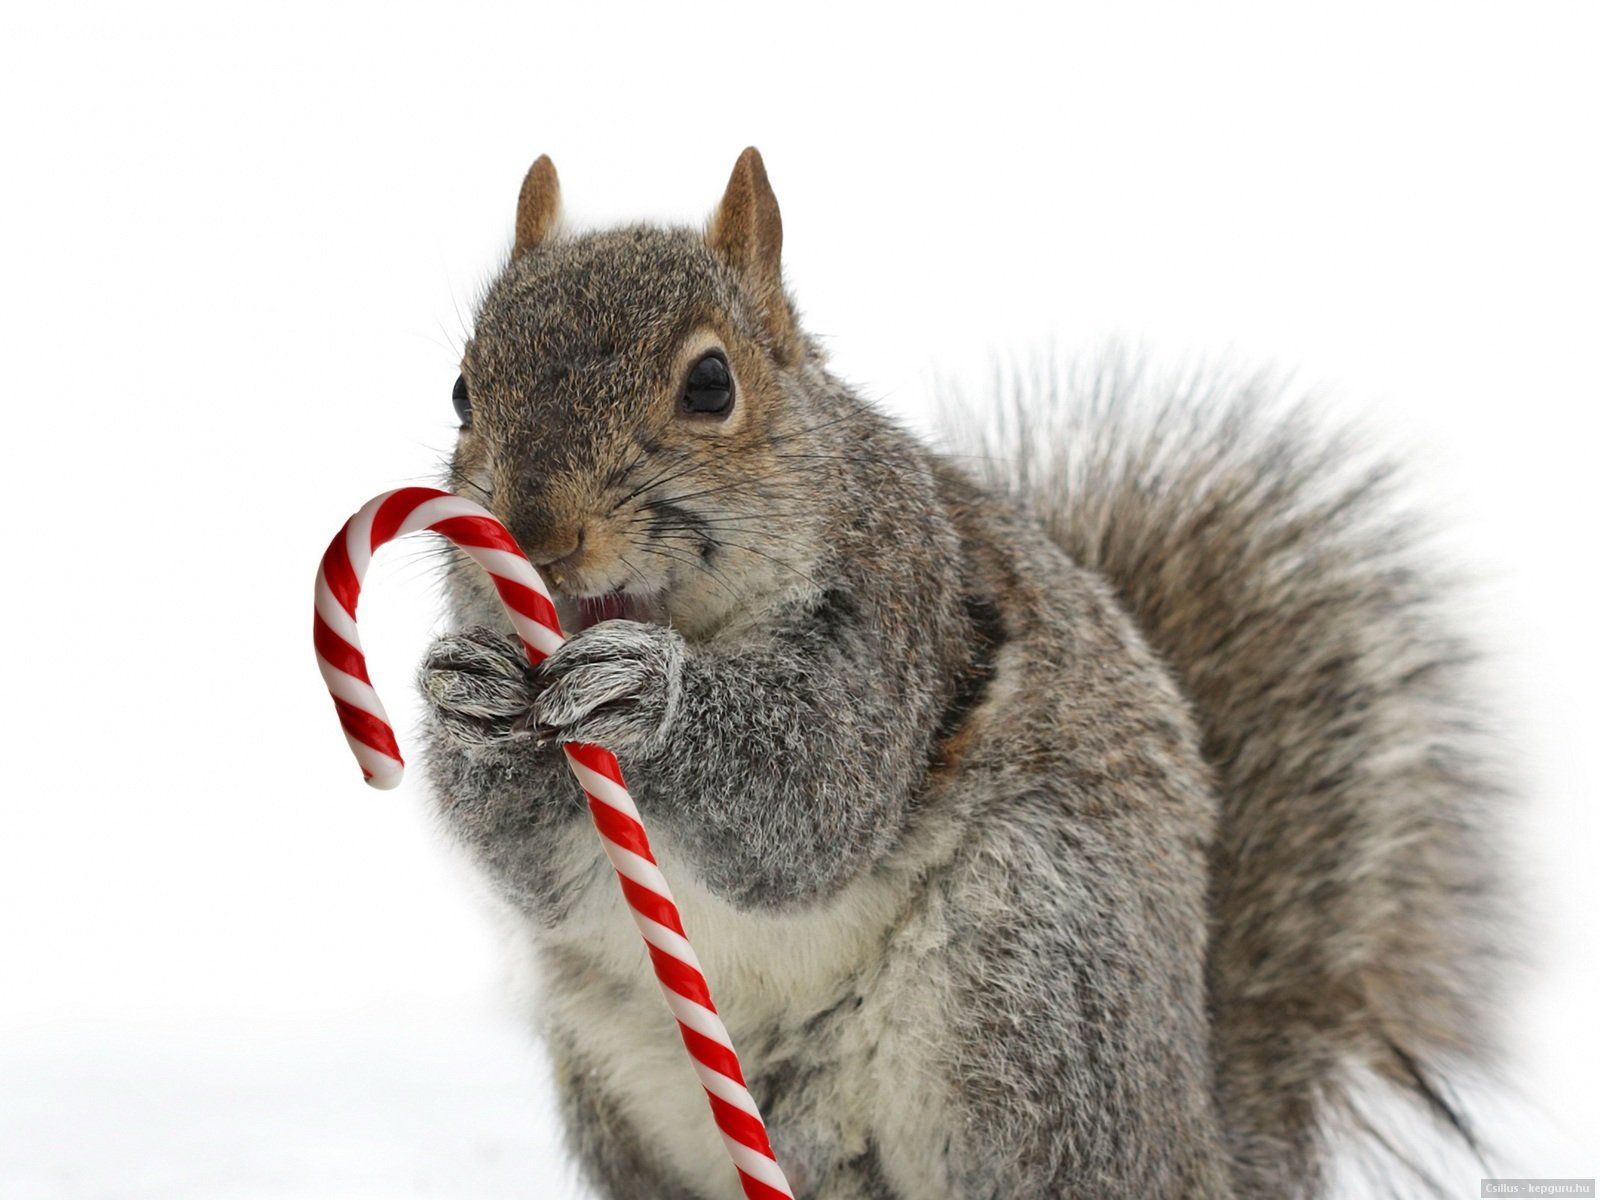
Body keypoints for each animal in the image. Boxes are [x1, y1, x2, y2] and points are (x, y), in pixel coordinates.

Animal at [416, 148, 1505, 1198]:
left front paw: (649, 693)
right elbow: (531, 867)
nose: (535, 533)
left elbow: (813, 800)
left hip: (1033, 994)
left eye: (711, 385)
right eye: (463, 391)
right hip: (624, 1075)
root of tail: (1194, 1141)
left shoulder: (902, 625)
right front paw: (465, 698)